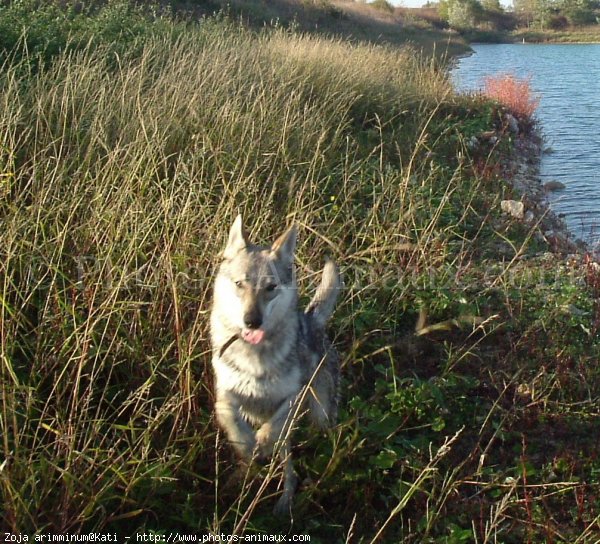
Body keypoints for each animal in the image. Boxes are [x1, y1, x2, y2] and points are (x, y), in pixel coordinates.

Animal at [211, 216, 342, 516]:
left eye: (270, 288)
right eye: (239, 284)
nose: (252, 321)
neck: (255, 355)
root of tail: (312, 320)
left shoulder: (293, 396)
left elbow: (272, 429)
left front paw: (260, 442)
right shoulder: (225, 393)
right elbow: (231, 418)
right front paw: (247, 445)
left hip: (320, 415)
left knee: (291, 462)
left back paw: (286, 500)